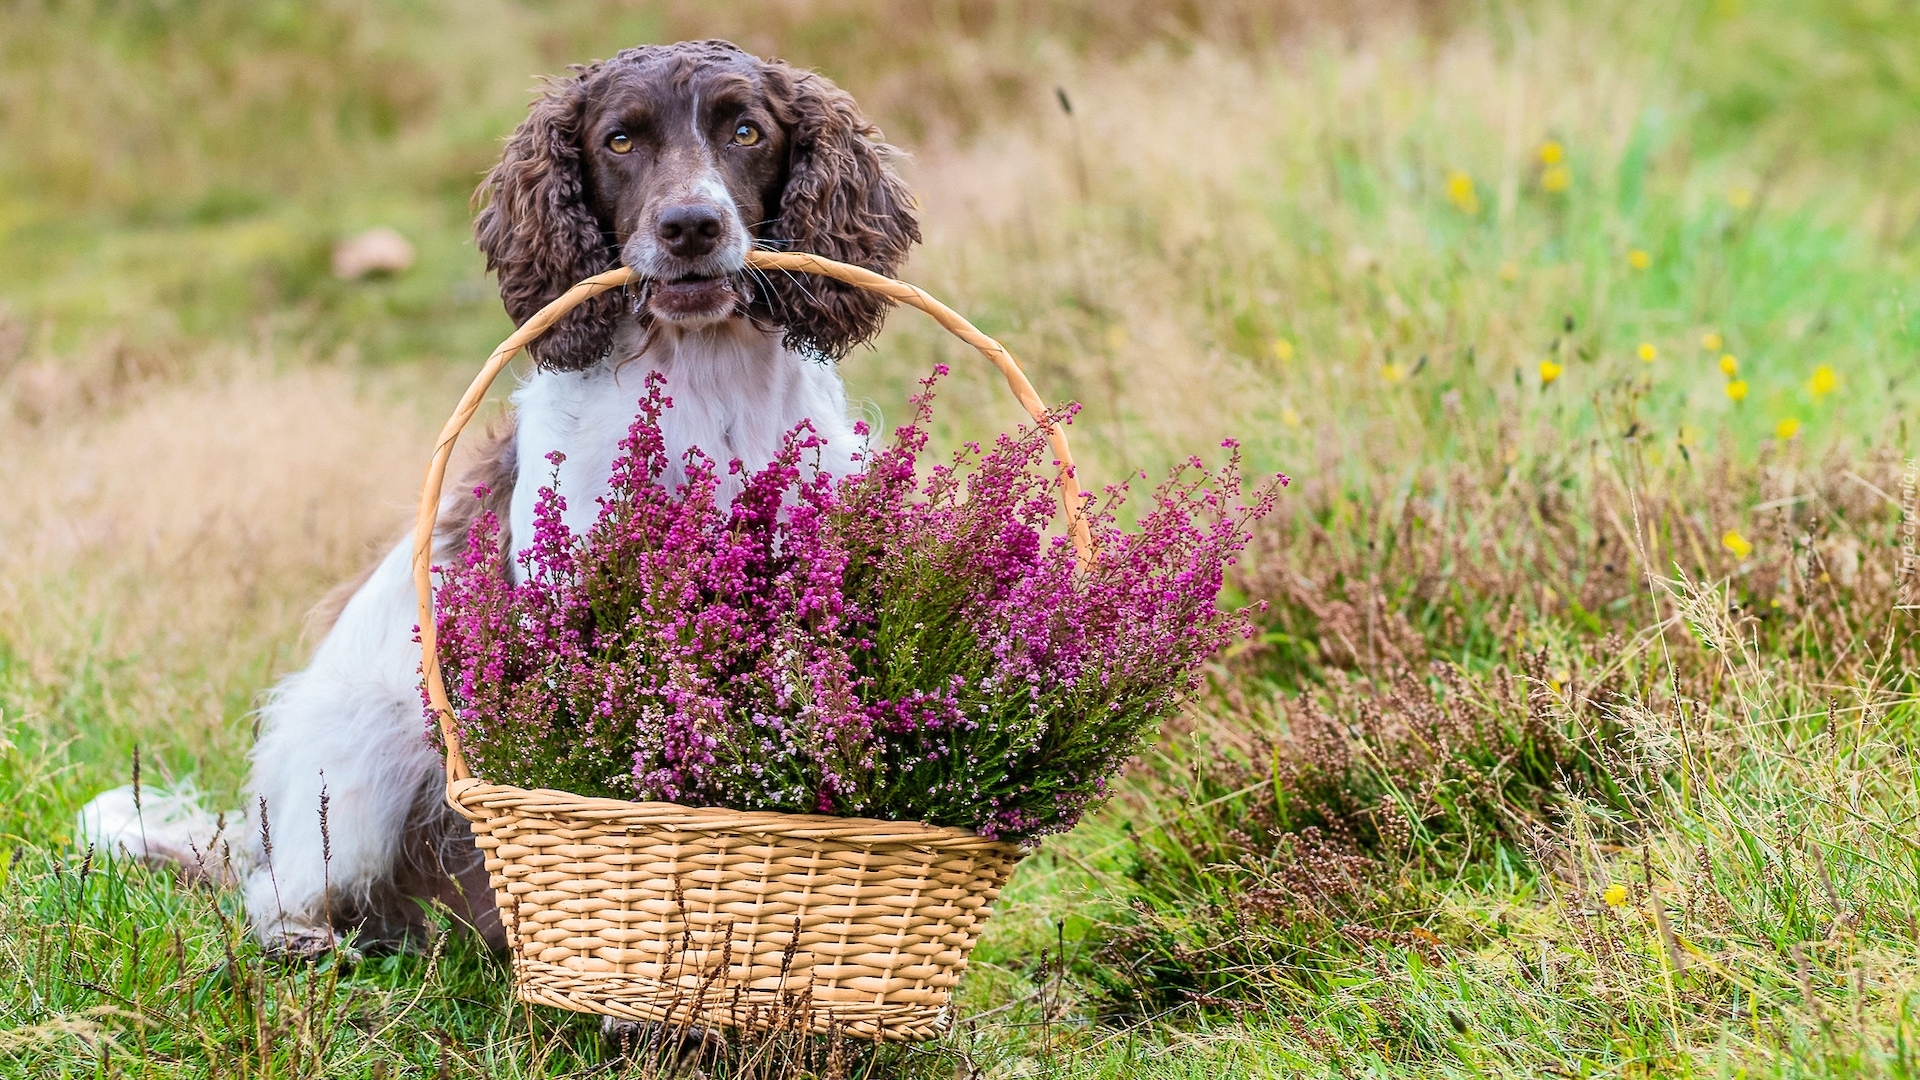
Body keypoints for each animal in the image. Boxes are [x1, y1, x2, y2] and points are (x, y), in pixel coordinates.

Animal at [86, 39, 925, 949]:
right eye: (619, 141)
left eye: (746, 130)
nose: (690, 226)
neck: (709, 382)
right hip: (366, 743)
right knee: (277, 892)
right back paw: (312, 938)